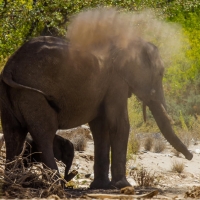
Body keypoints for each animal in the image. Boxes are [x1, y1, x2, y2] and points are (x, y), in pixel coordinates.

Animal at [0, 35, 192, 190]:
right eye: (160, 74)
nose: (190, 156)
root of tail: (10, 66)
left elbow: (100, 127)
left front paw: (101, 186)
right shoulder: (116, 81)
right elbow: (119, 124)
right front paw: (122, 186)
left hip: (10, 93)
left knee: (13, 134)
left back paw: (14, 181)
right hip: (33, 95)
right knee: (44, 133)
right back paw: (55, 184)